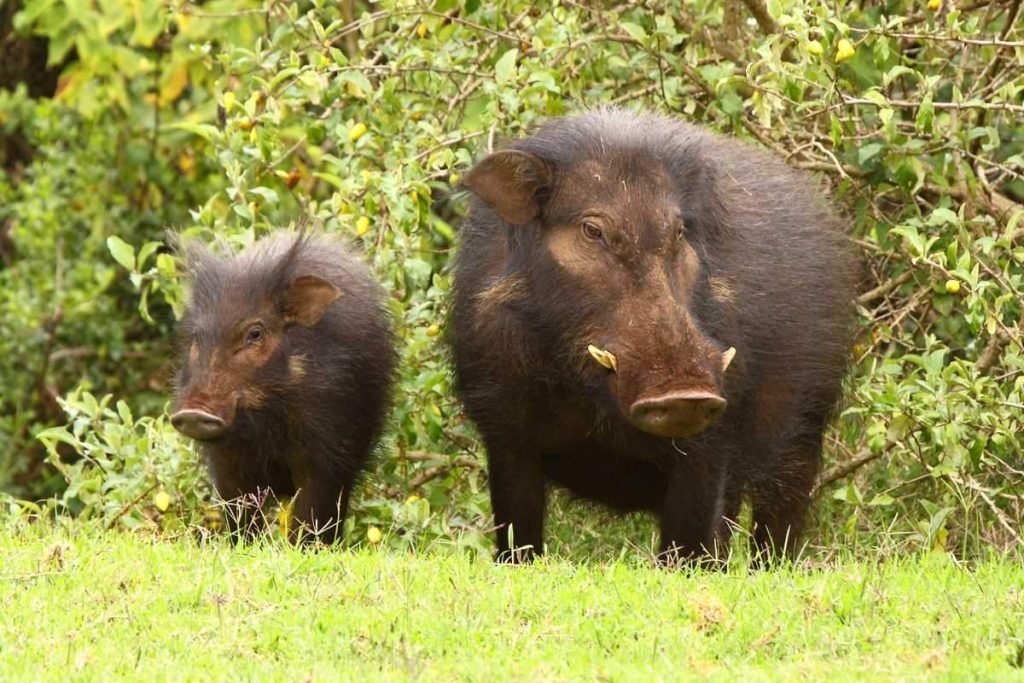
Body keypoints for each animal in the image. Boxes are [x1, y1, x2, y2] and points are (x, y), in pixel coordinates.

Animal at [170, 230, 394, 544]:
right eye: (197, 338)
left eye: (255, 333)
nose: (193, 413)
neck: (267, 415)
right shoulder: (226, 462)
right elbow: (240, 515)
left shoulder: (328, 455)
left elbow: (311, 515)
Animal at [450, 109, 857, 565]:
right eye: (591, 230)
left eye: (679, 231)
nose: (684, 393)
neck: (586, 396)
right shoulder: (505, 436)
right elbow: (518, 541)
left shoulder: (710, 447)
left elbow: (689, 547)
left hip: (804, 436)